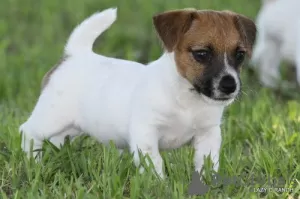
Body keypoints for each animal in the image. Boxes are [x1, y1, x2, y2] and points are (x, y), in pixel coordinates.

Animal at [19, 8, 255, 178]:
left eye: (240, 55)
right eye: (202, 54)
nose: (230, 85)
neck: (187, 99)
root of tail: (75, 55)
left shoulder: (208, 135)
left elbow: (207, 163)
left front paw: (206, 184)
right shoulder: (146, 133)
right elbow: (155, 163)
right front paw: (159, 186)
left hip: (71, 127)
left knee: (56, 140)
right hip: (51, 118)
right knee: (28, 132)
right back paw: (33, 163)